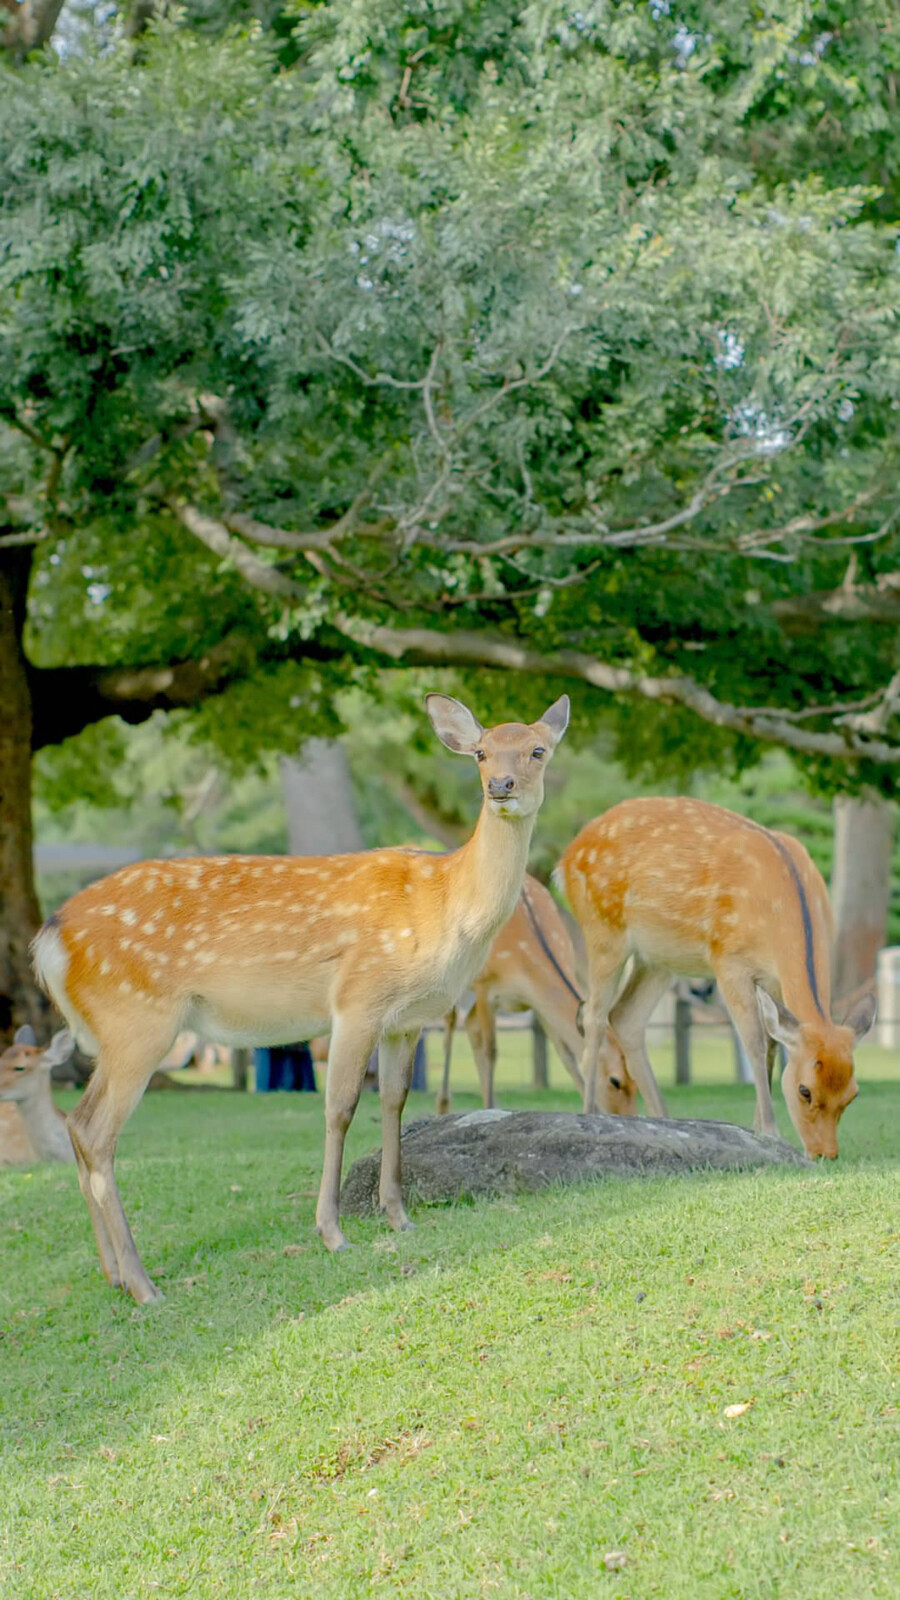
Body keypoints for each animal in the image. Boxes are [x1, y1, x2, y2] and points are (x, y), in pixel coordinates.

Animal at [36, 688, 566, 1299]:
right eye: (480, 752)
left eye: (537, 750)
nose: (500, 785)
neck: (444, 907)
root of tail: (48, 939)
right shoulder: (358, 999)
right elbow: (340, 1108)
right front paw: (332, 1233)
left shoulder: (408, 1019)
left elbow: (393, 1102)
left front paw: (398, 1216)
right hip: (138, 1021)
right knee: (97, 1133)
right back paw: (144, 1285)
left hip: (113, 1033)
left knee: (76, 1124)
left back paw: (115, 1276)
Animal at [435, 876, 630, 1113]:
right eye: (615, 1081)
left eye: (635, 1082)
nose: (630, 1115)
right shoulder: (484, 986)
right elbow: (492, 1051)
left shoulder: (537, 1005)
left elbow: (566, 1055)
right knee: (451, 1020)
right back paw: (444, 1104)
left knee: (469, 1023)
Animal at [557, 793, 871, 1158]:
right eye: (804, 1090)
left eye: (853, 1093)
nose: (825, 1153)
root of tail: (567, 857)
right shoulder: (728, 961)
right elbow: (754, 1043)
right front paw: (770, 1130)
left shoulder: (773, 981)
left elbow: (772, 1047)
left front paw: (759, 1129)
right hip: (602, 927)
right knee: (592, 1014)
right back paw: (589, 1113)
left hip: (658, 957)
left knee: (624, 1015)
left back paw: (664, 1120)